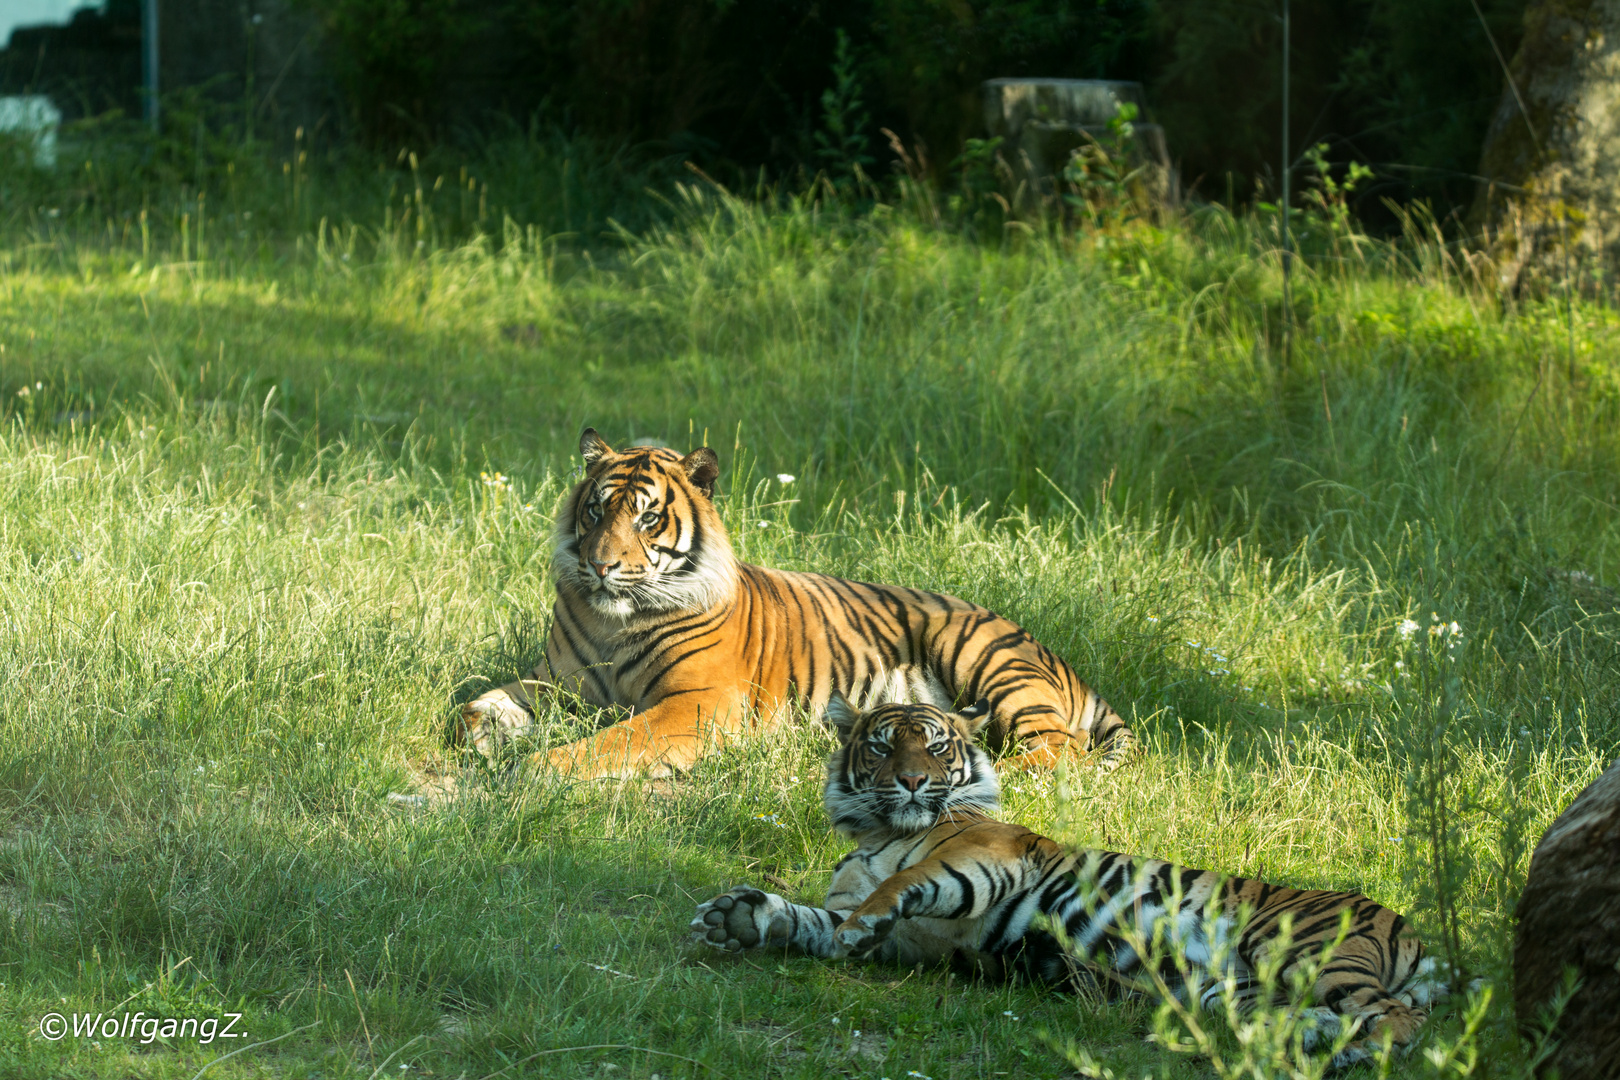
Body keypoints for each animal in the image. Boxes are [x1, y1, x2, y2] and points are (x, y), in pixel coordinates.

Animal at [456, 427, 1140, 777]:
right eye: (596, 510)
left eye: (648, 518)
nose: (599, 565)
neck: (612, 622)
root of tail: (1054, 655)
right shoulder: (555, 683)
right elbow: (470, 711)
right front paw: (486, 739)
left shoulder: (700, 703)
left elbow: (611, 741)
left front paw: (537, 768)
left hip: (984, 656)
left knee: (1058, 752)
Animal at [683, 696, 1445, 1068]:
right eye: (880, 745)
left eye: (935, 745)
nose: (914, 781)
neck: (877, 832)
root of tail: (1412, 930)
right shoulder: (905, 942)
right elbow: (813, 919)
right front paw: (736, 916)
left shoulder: (988, 855)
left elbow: (905, 883)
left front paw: (866, 915)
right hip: (1248, 992)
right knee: (1336, 1019)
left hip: (1305, 952)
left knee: (1400, 1018)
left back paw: (1363, 1057)